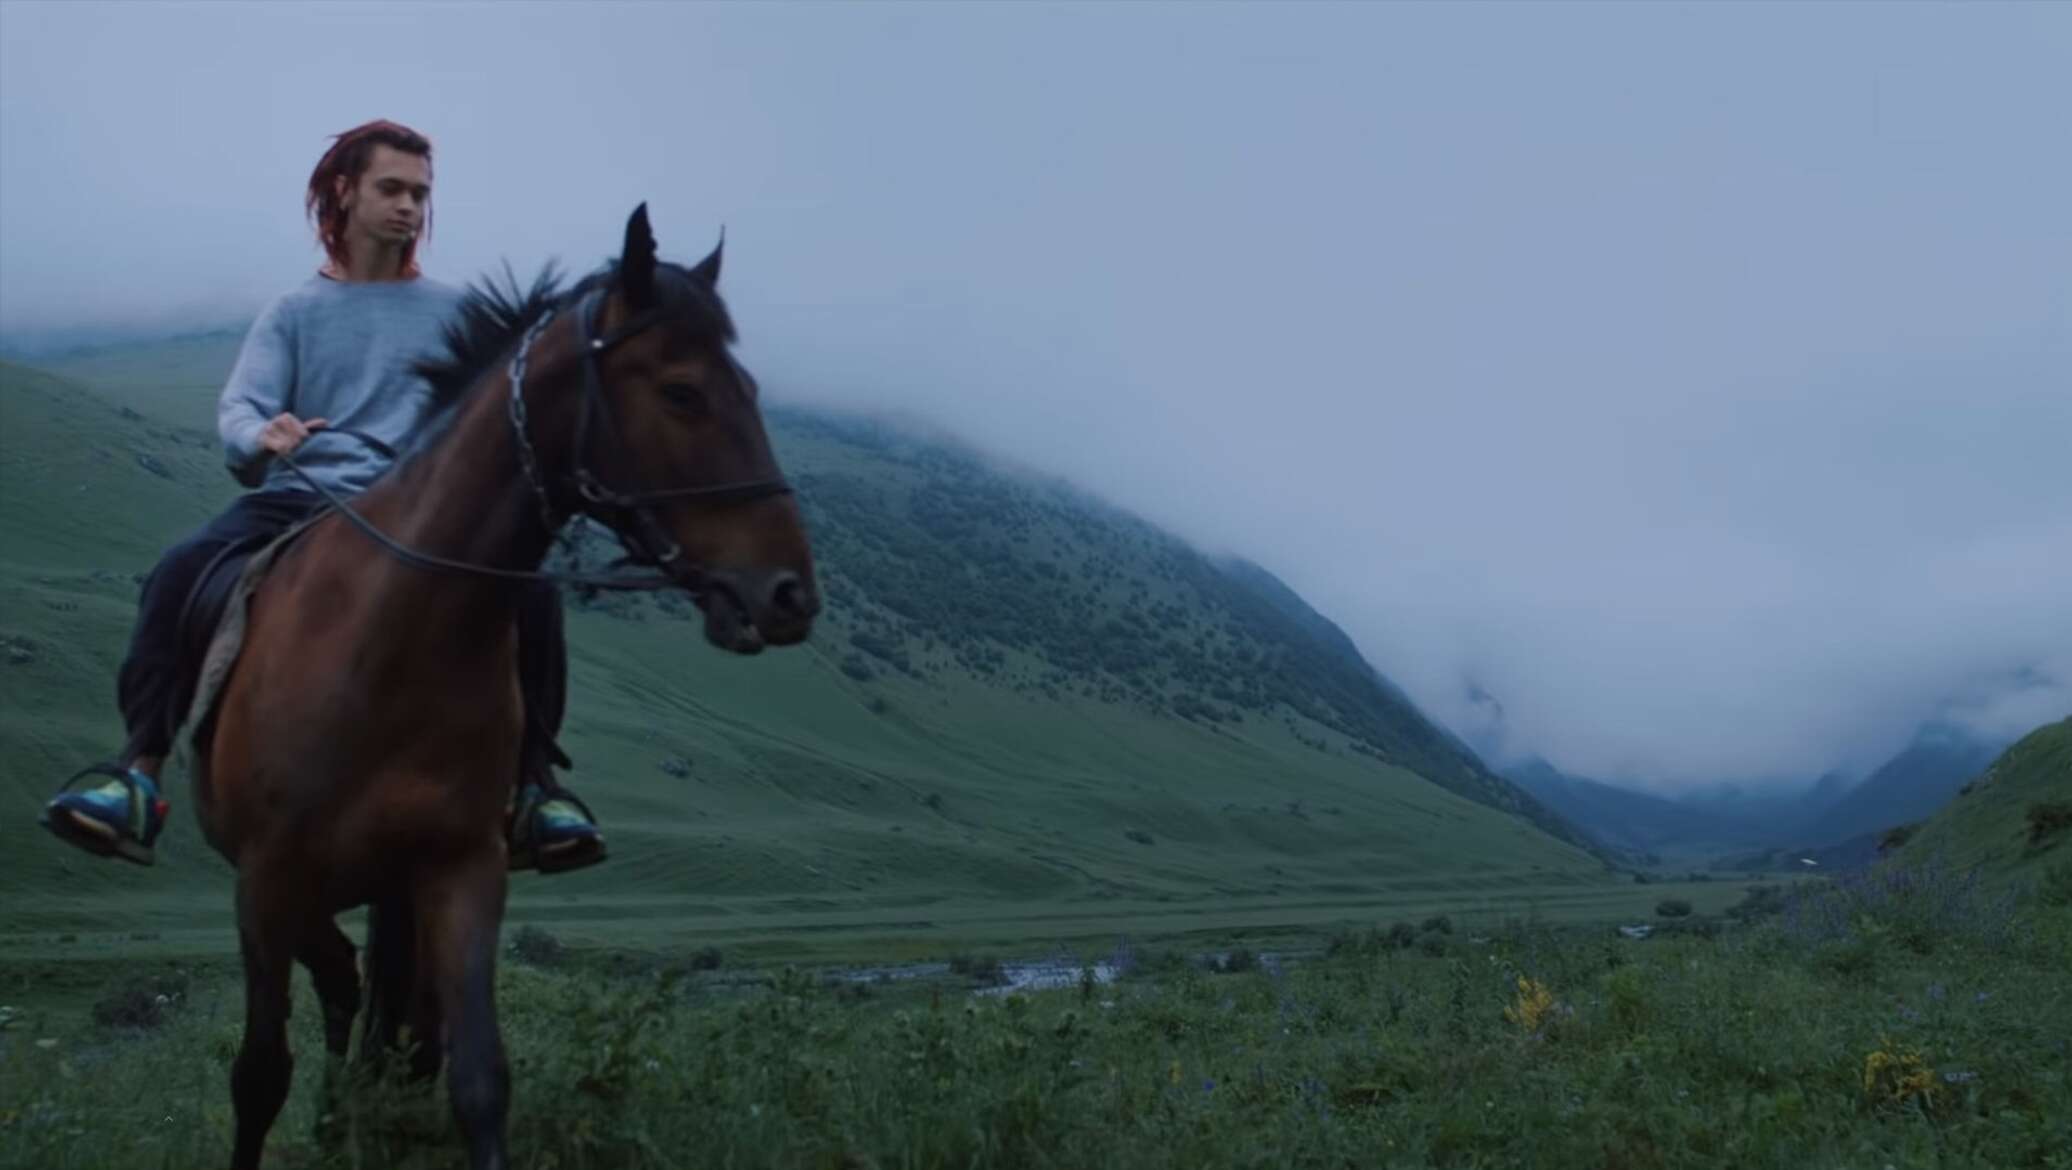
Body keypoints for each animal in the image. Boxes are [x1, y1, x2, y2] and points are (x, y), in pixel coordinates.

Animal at [188, 205, 816, 1167]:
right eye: (682, 392)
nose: (790, 594)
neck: (390, 638)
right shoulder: (262, 877)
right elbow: (259, 1075)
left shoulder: (461, 867)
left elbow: (479, 1078)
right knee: (338, 981)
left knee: (361, 987)